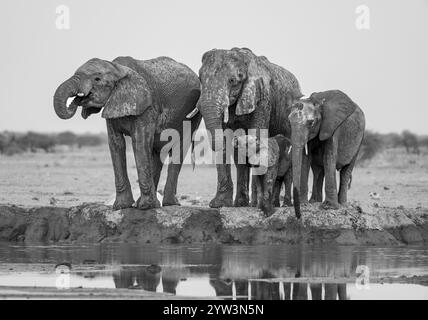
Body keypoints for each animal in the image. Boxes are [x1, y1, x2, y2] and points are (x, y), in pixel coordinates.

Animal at [52, 55, 201, 210]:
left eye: (97, 79)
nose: (74, 102)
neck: (118, 69)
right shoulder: (113, 105)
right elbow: (116, 144)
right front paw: (122, 206)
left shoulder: (147, 106)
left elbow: (139, 142)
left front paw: (146, 207)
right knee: (156, 153)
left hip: (192, 114)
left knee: (179, 148)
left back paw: (169, 204)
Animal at [196, 47, 302, 208]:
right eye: (200, 79)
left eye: (232, 81)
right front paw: (219, 204)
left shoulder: (263, 98)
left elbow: (256, 134)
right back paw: (245, 203)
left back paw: (280, 204)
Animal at [288, 89, 364, 218]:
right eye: (289, 122)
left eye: (311, 123)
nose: (299, 216)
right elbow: (305, 159)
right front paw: (304, 204)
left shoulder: (333, 127)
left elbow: (329, 157)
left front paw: (329, 208)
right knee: (318, 170)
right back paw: (314, 202)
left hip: (360, 140)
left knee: (346, 171)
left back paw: (342, 205)